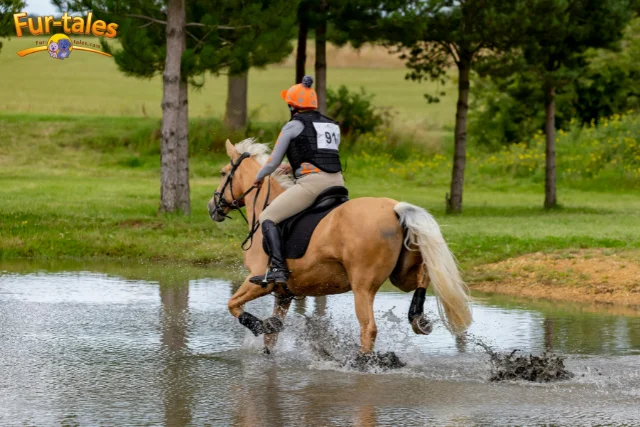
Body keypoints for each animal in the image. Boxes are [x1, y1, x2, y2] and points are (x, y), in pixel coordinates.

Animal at [208, 138, 472, 355]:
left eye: (222, 173)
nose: (212, 207)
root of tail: (395, 208)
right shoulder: (284, 294)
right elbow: (270, 339)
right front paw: (269, 333)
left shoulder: (259, 281)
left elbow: (232, 304)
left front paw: (260, 324)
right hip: (401, 275)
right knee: (423, 276)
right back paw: (417, 318)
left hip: (362, 286)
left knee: (369, 328)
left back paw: (363, 362)